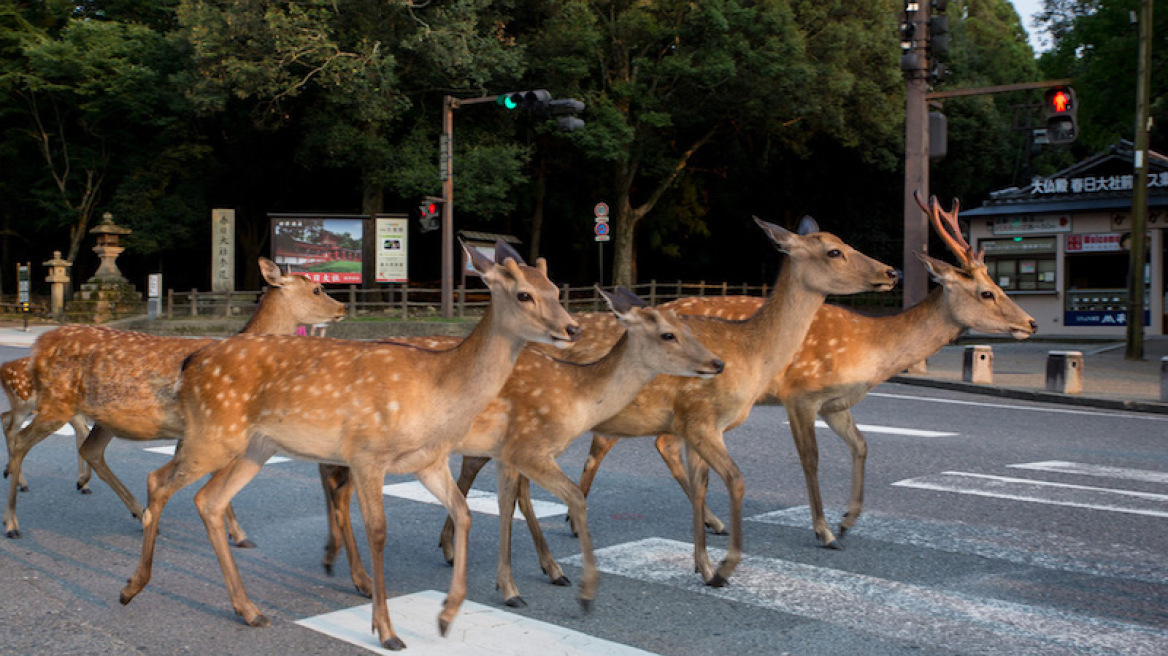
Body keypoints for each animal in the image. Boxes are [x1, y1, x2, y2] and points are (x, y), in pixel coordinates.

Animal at [0, 354, 90, 492]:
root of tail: (4, 368)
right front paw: (82, 482)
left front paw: (82, 483)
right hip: (24, 404)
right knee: (12, 430)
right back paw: (20, 481)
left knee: (5, 417)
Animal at [116, 242, 581, 648]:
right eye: (524, 294)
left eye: (556, 289)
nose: (573, 328)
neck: (438, 390)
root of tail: (191, 362)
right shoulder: (368, 453)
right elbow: (378, 530)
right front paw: (387, 630)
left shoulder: (428, 461)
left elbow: (464, 513)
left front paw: (447, 616)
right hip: (213, 434)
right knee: (160, 480)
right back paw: (132, 587)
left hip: (254, 448)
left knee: (208, 499)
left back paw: (248, 610)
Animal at [315, 287, 724, 606]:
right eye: (668, 334)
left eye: (690, 328)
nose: (717, 362)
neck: (575, 395)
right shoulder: (521, 444)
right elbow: (532, 501)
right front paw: (524, 587)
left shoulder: (511, 451)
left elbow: (511, 502)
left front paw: (543, 573)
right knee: (341, 484)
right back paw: (357, 575)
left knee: (335, 480)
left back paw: (337, 560)